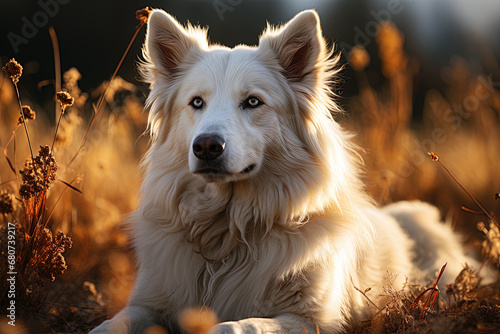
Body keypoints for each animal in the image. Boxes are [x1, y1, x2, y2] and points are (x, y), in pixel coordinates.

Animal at [91, 9, 484, 332]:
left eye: (253, 101)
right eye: (196, 103)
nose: (205, 147)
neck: (228, 233)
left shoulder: (312, 319)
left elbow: (238, 326)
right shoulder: (150, 301)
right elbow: (115, 323)